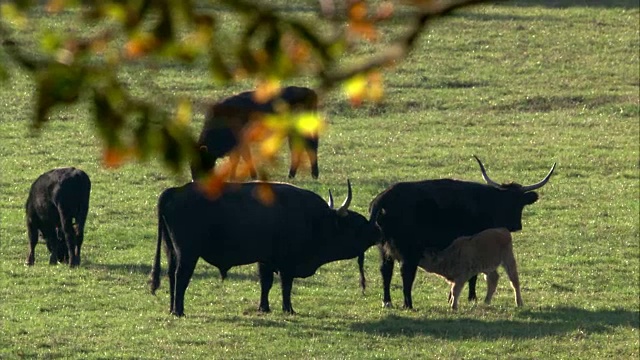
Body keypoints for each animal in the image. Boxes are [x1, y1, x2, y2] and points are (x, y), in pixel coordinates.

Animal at [149, 179, 380, 316]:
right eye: (357, 222)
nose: (377, 231)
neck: (315, 219)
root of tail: (174, 191)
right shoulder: (287, 264)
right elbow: (285, 286)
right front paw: (289, 309)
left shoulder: (265, 260)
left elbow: (266, 284)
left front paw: (264, 308)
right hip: (187, 254)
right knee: (181, 277)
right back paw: (179, 311)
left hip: (172, 252)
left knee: (171, 275)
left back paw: (172, 308)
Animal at [190, 84, 320, 180]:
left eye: (200, 160)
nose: (194, 179)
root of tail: (308, 91)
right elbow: (235, 160)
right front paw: (233, 177)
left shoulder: (241, 141)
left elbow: (244, 157)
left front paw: (252, 176)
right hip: (294, 133)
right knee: (297, 149)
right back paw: (292, 175)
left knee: (310, 146)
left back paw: (314, 174)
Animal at [364, 156, 556, 308]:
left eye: (519, 202)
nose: (517, 226)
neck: (487, 201)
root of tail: (383, 198)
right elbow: (474, 275)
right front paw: (471, 297)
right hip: (408, 250)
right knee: (406, 273)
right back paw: (408, 304)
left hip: (384, 248)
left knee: (386, 270)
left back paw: (387, 301)